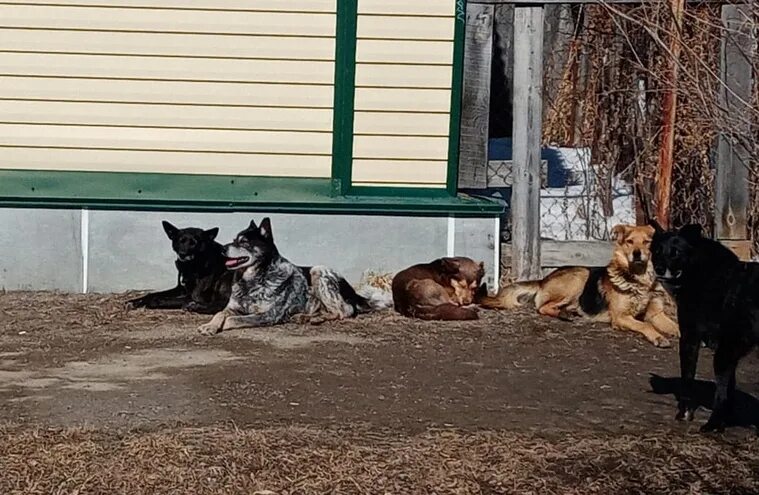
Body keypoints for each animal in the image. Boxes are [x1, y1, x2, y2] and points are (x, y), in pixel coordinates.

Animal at [478, 226, 680, 348]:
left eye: (647, 242)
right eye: (630, 241)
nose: (637, 254)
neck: (640, 280)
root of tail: (543, 279)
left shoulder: (656, 313)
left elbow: (676, 326)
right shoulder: (621, 317)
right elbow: (646, 325)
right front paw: (658, 337)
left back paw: (568, 312)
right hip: (580, 275)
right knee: (542, 307)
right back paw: (564, 314)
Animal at [652, 223, 759, 432]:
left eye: (675, 252)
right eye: (657, 251)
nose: (659, 269)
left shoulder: (692, 338)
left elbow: (692, 381)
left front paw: (686, 414)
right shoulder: (730, 354)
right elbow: (729, 391)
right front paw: (726, 421)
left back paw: (710, 425)